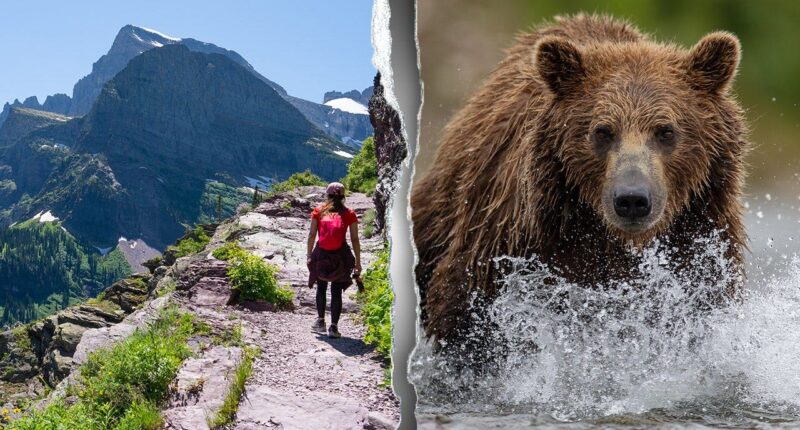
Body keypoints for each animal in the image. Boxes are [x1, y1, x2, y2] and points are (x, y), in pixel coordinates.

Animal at [412, 14, 749, 347]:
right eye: (602, 131)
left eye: (666, 130)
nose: (632, 200)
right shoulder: (507, 244)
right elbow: (466, 317)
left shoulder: (700, 243)